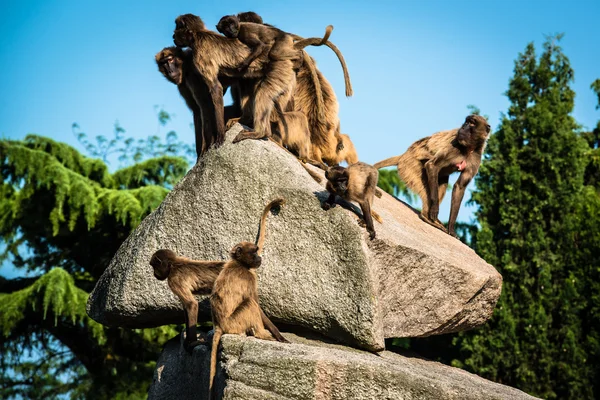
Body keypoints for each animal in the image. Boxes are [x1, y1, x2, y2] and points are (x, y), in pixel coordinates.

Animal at [209, 198, 288, 400]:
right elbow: (256, 304)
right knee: (250, 304)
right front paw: (279, 336)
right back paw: (261, 334)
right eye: (253, 253)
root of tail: (219, 324)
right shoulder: (249, 278)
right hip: (234, 323)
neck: (239, 264)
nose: (259, 258)